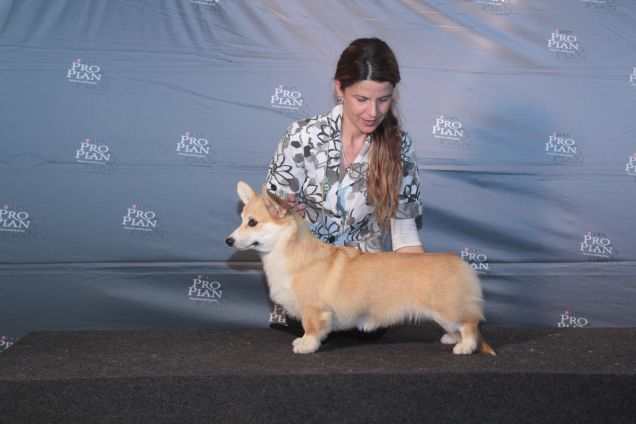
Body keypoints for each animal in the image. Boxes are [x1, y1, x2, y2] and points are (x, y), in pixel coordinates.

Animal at [225, 181, 496, 356]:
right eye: (242, 220)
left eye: (253, 222)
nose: (229, 241)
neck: (287, 250)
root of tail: (460, 262)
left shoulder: (314, 310)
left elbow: (312, 330)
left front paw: (305, 346)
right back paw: (451, 338)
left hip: (448, 309)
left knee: (470, 325)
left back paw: (463, 347)